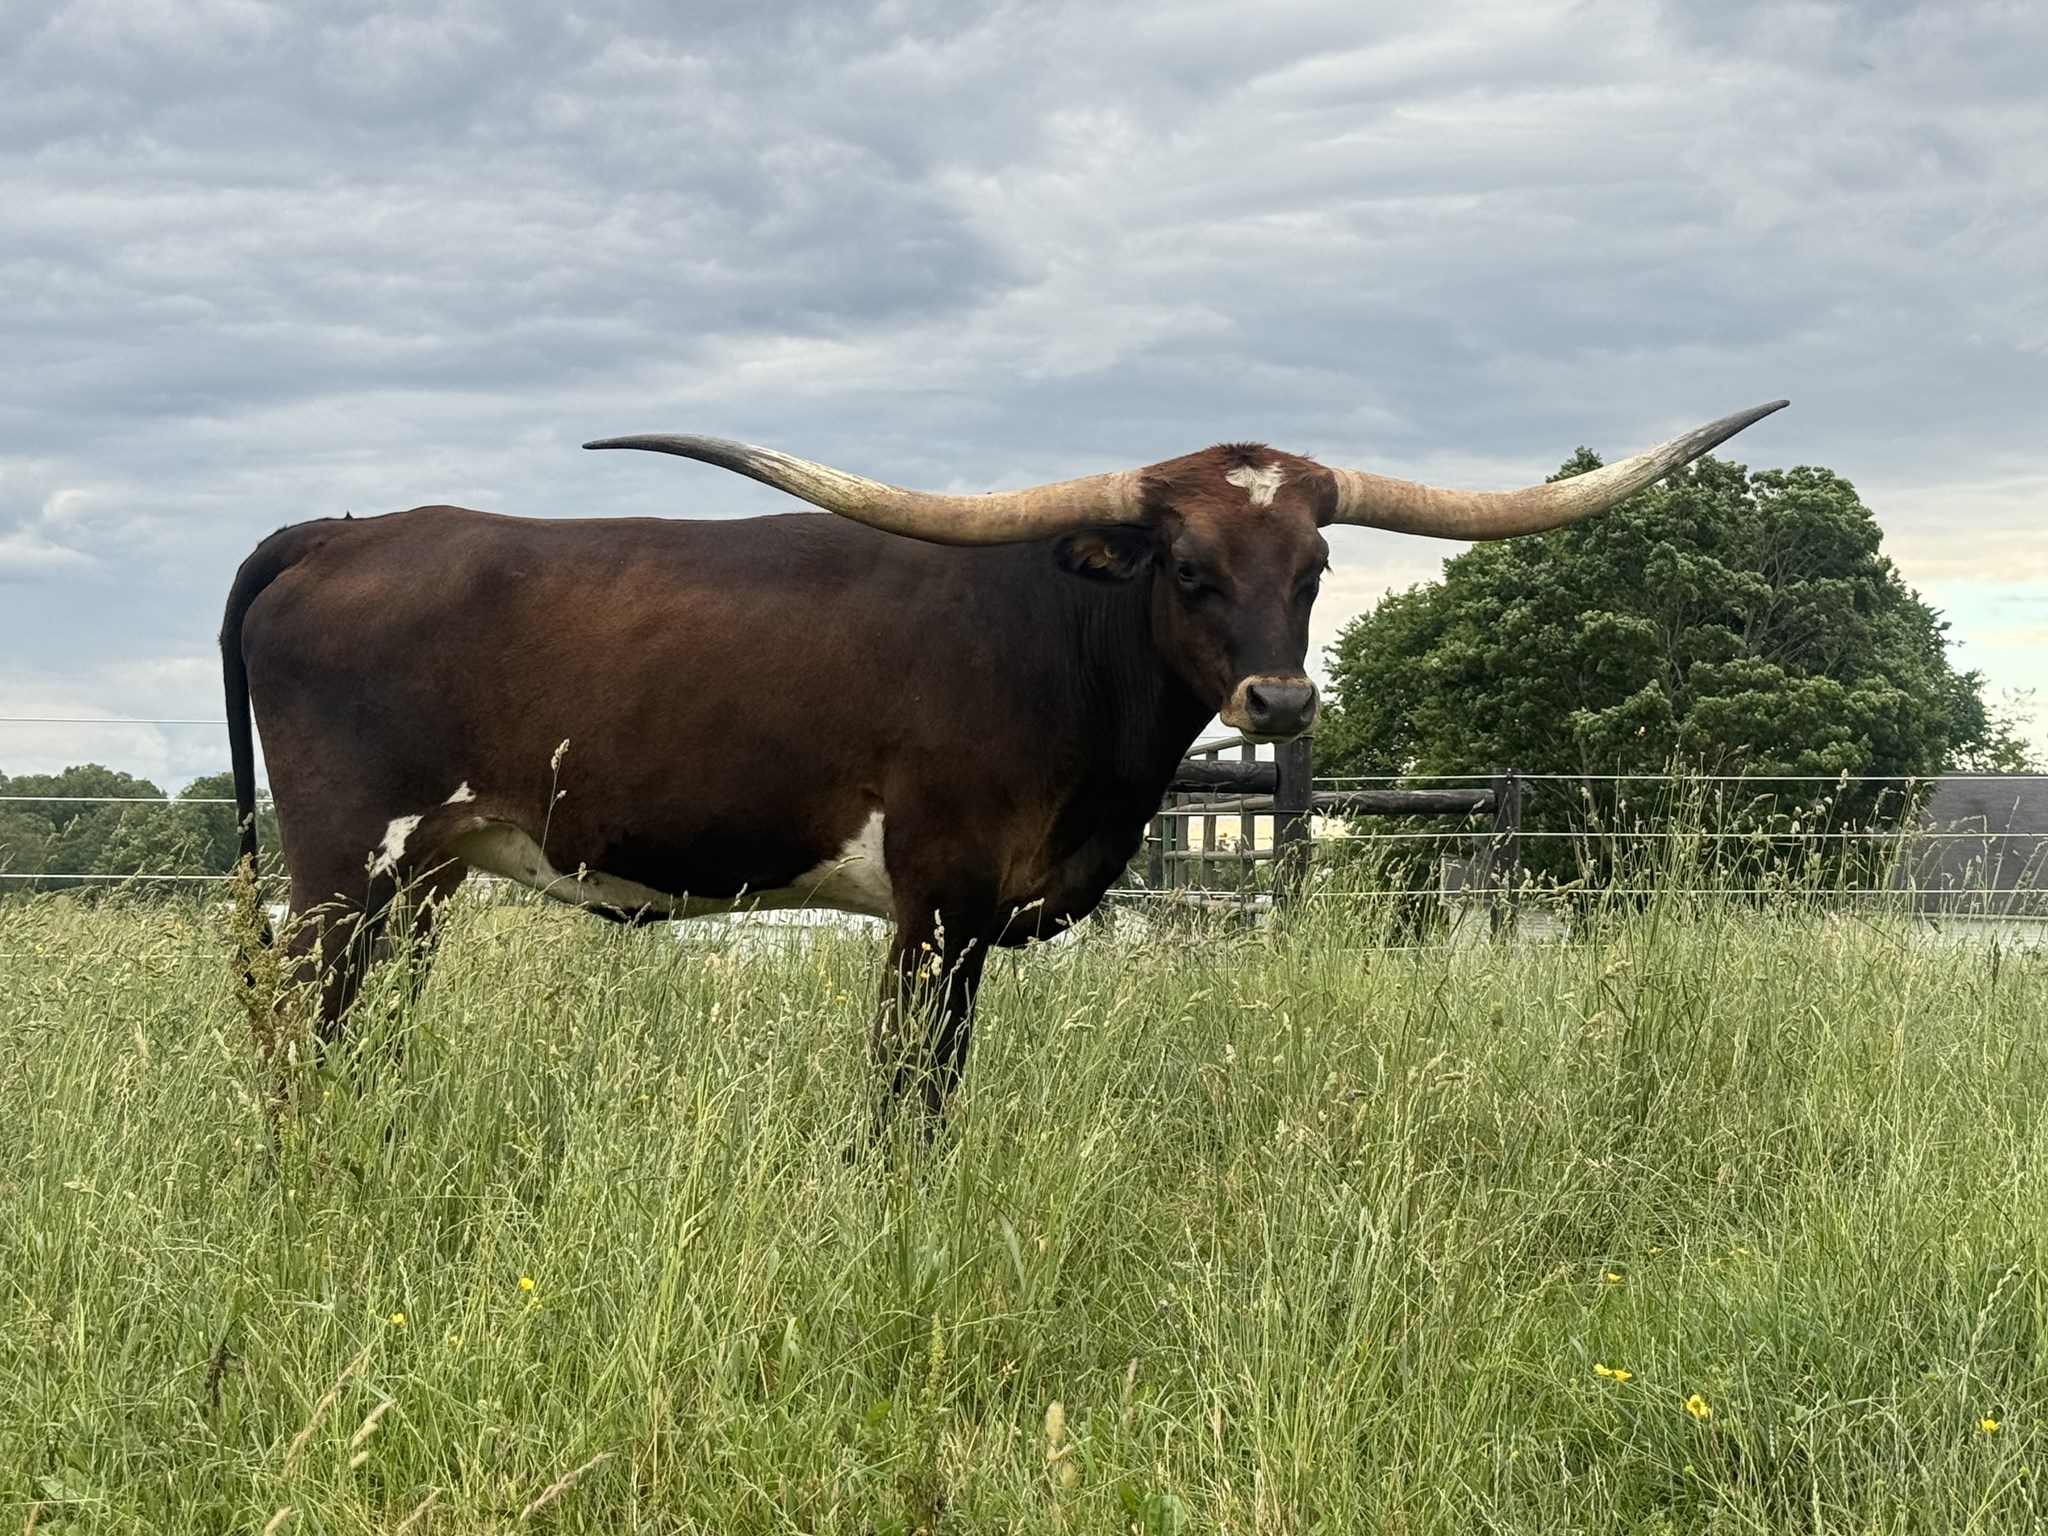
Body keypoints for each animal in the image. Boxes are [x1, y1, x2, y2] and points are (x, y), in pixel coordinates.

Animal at [221, 401, 1784, 1115]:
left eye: (1316, 567)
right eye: (1188, 568)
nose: (1280, 701)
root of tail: (343, 530)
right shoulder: (939, 902)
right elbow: (908, 1094)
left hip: (427, 876)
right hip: (339, 866)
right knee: (297, 1036)